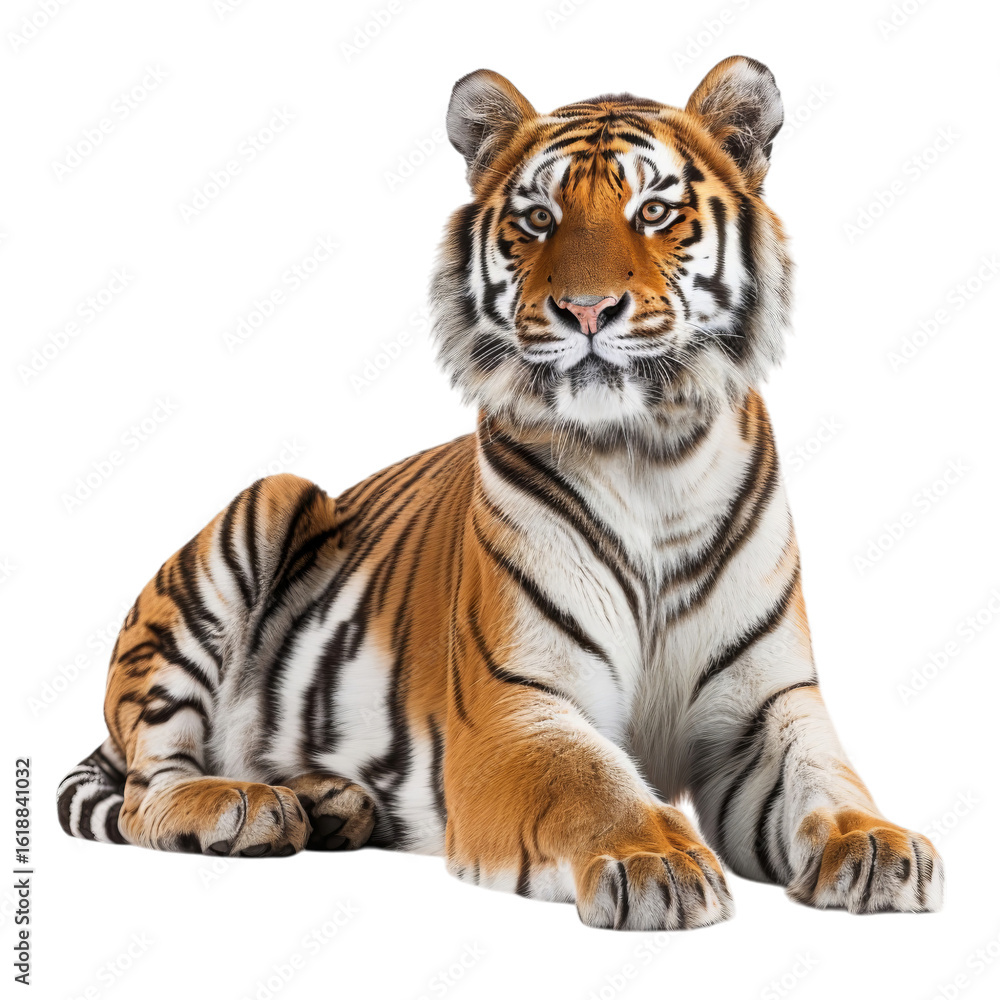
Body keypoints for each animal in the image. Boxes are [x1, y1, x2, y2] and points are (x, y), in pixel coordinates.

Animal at [58, 55, 943, 930]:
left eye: (655, 211)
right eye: (540, 219)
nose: (586, 310)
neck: (649, 457)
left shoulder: (764, 710)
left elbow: (828, 779)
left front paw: (878, 845)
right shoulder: (517, 708)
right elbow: (593, 784)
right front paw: (653, 860)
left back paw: (331, 802)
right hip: (260, 513)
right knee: (146, 790)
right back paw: (244, 806)